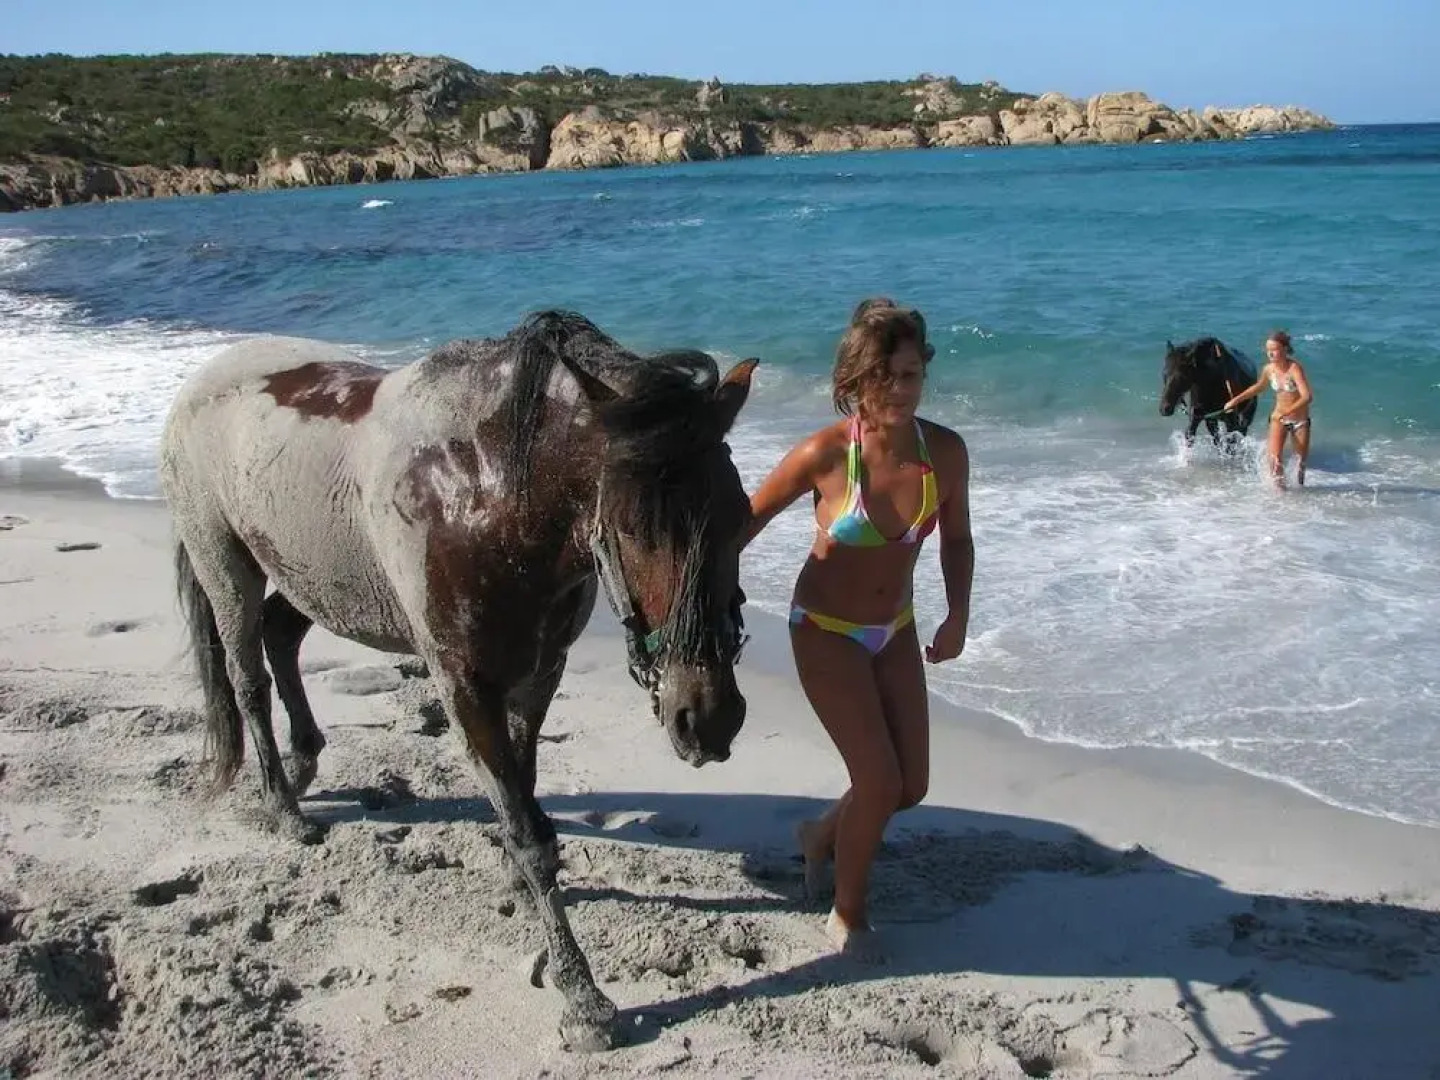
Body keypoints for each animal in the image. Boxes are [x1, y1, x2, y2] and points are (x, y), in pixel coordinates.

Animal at [159, 310, 757, 1051]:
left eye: (741, 514)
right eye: (631, 526)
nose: (706, 717)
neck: (489, 496)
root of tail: (200, 381)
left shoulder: (539, 674)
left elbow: (524, 796)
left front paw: (515, 885)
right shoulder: (463, 687)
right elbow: (529, 833)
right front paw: (582, 997)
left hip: (316, 577)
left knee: (280, 637)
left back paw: (303, 764)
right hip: (225, 567)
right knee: (247, 678)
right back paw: (283, 807)